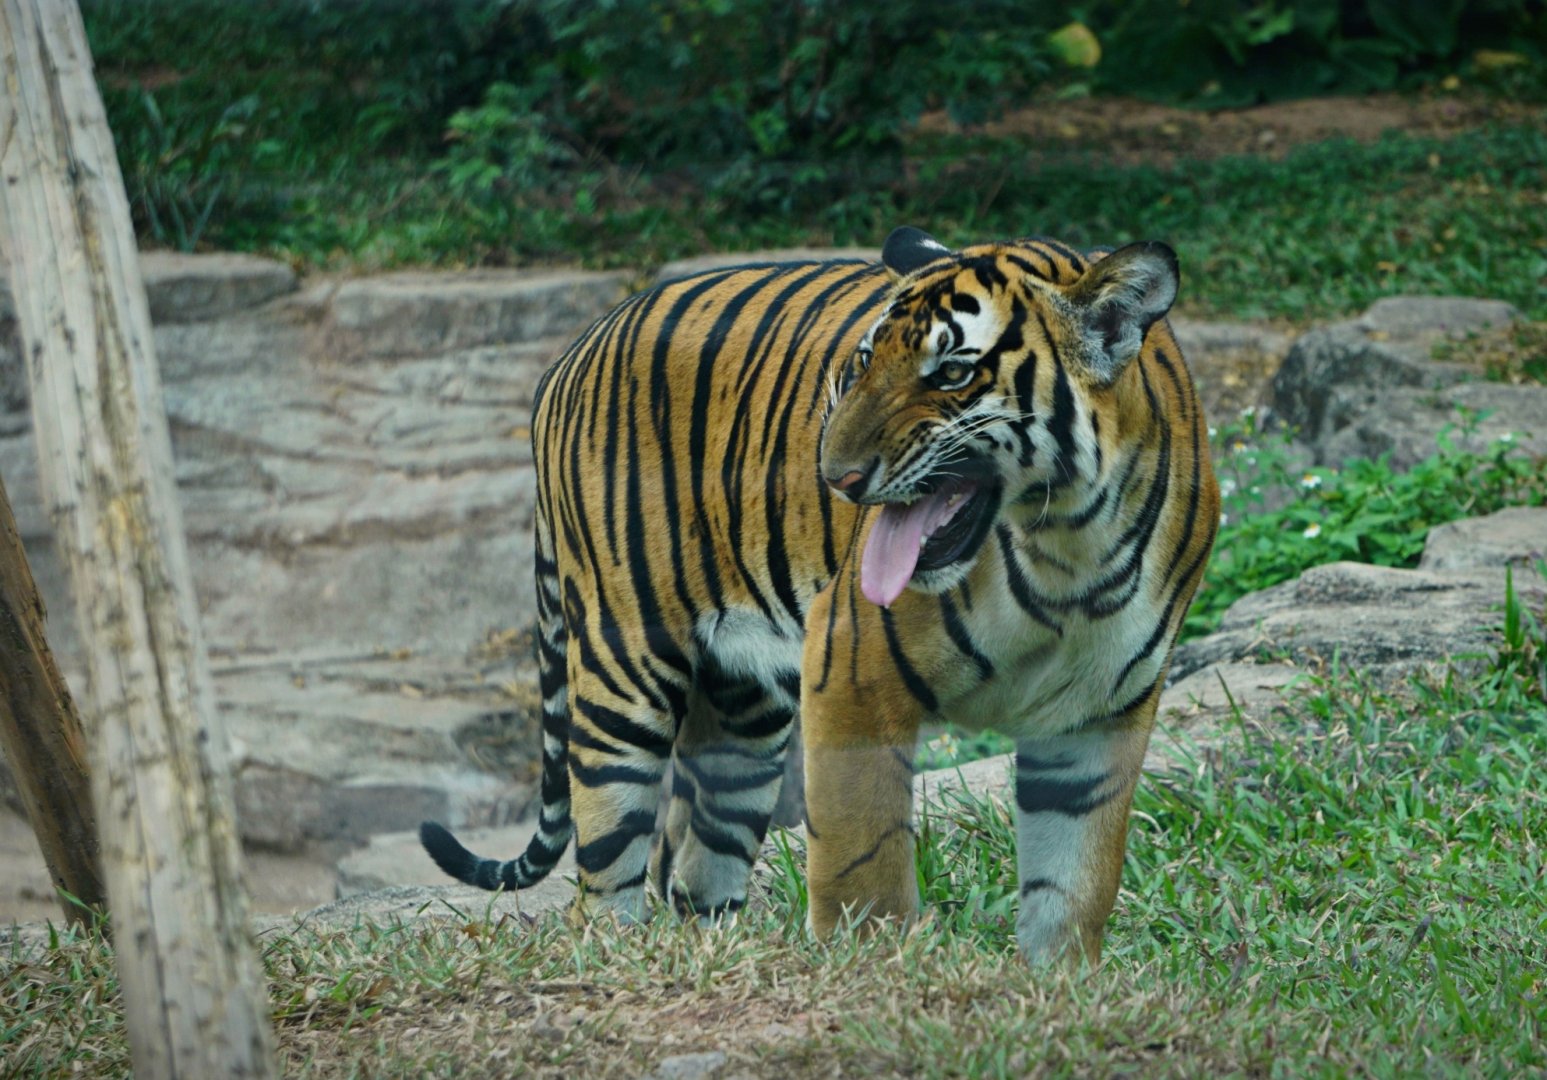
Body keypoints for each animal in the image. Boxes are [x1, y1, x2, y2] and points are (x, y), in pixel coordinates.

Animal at [420, 226, 1219, 964]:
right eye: (863, 362)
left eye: (953, 372)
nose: (836, 477)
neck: (1067, 545)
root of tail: (571, 352)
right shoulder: (853, 666)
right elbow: (860, 857)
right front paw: (871, 967)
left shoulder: (1099, 716)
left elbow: (1075, 878)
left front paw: (1054, 981)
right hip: (625, 665)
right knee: (605, 874)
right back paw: (621, 953)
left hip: (742, 712)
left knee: (698, 860)